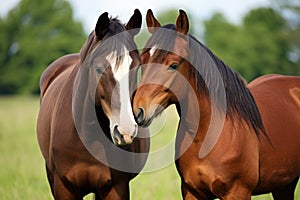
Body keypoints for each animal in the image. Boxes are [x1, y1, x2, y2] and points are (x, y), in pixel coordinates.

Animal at [133, 9, 300, 200]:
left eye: (173, 65)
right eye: (143, 61)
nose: (138, 111)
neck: (207, 135)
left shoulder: (238, 193)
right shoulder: (191, 192)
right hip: (284, 185)